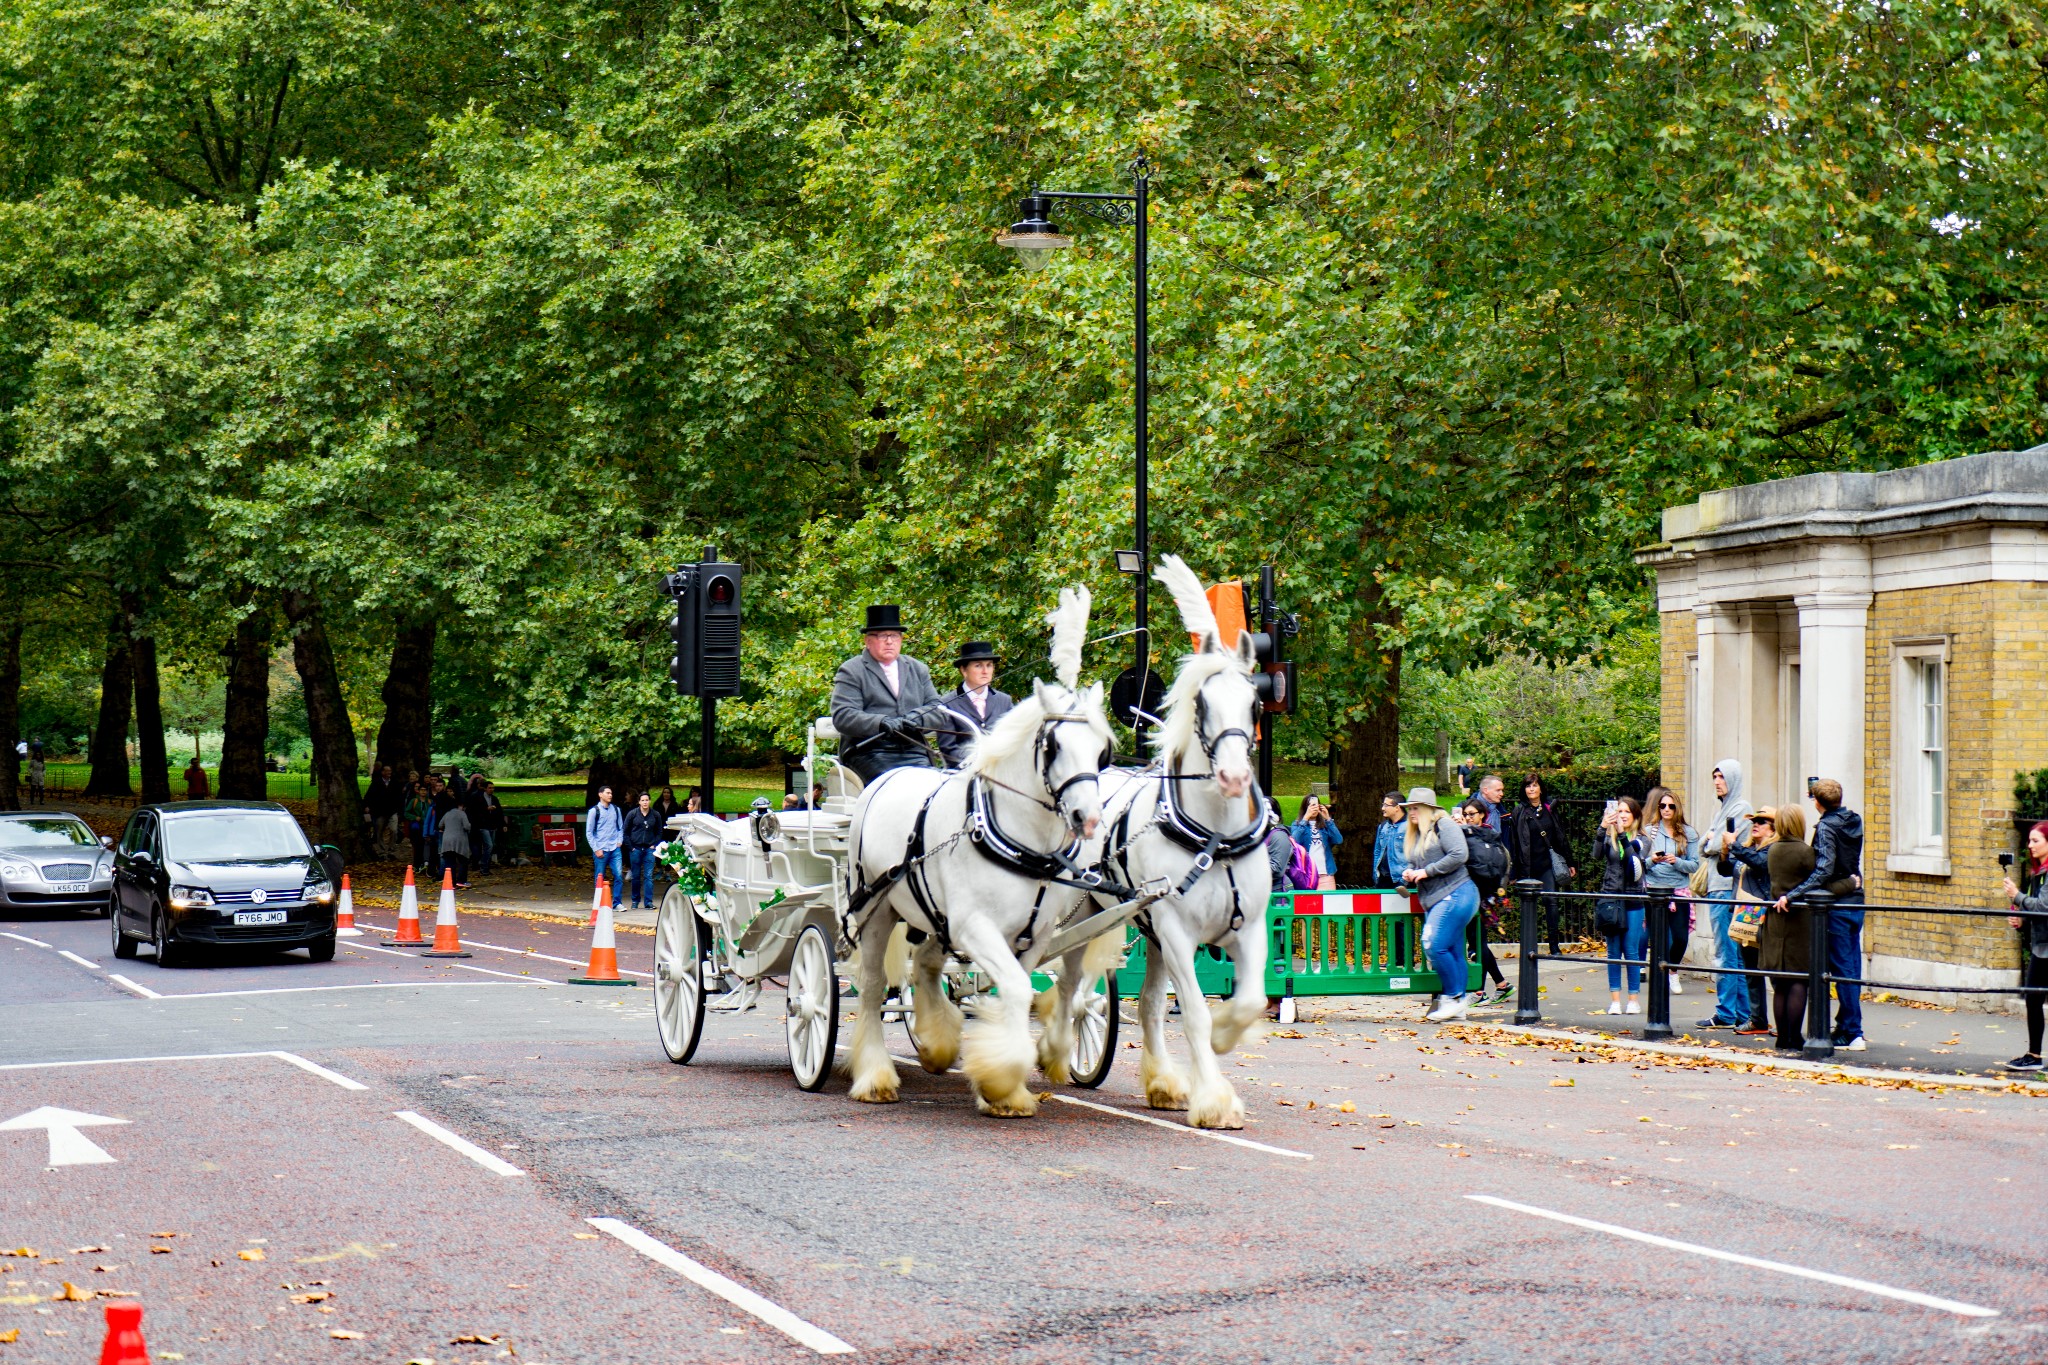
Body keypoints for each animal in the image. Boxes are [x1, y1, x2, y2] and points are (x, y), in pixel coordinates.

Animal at [839, 581, 1114, 1113]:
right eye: (1052, 745)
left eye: (1101, 749)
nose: (1087, 818)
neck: (1022, 842)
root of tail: (888, 777)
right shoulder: (976, 927)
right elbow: (1013, 990)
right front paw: (1003, 1081)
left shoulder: (1033, 935)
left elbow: (1017, 992)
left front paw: (1003, 1084)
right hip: (876, 911)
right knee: (872, 988)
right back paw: (875, 1076)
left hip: (931, 918)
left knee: (925, 966)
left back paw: (937, 1044)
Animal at [1097, 556, 1269, 1129]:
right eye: (1201, 701)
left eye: (1255, 701)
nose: (1236, 777)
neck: (1216, 839)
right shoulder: (1176, 929)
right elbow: (1192, 1010)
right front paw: (1214, 1098)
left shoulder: (1248, 928)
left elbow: (1250, 1000)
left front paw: (1225, 1035)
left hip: (1145, 928)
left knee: (1148, 1002)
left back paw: (1163, 1082)